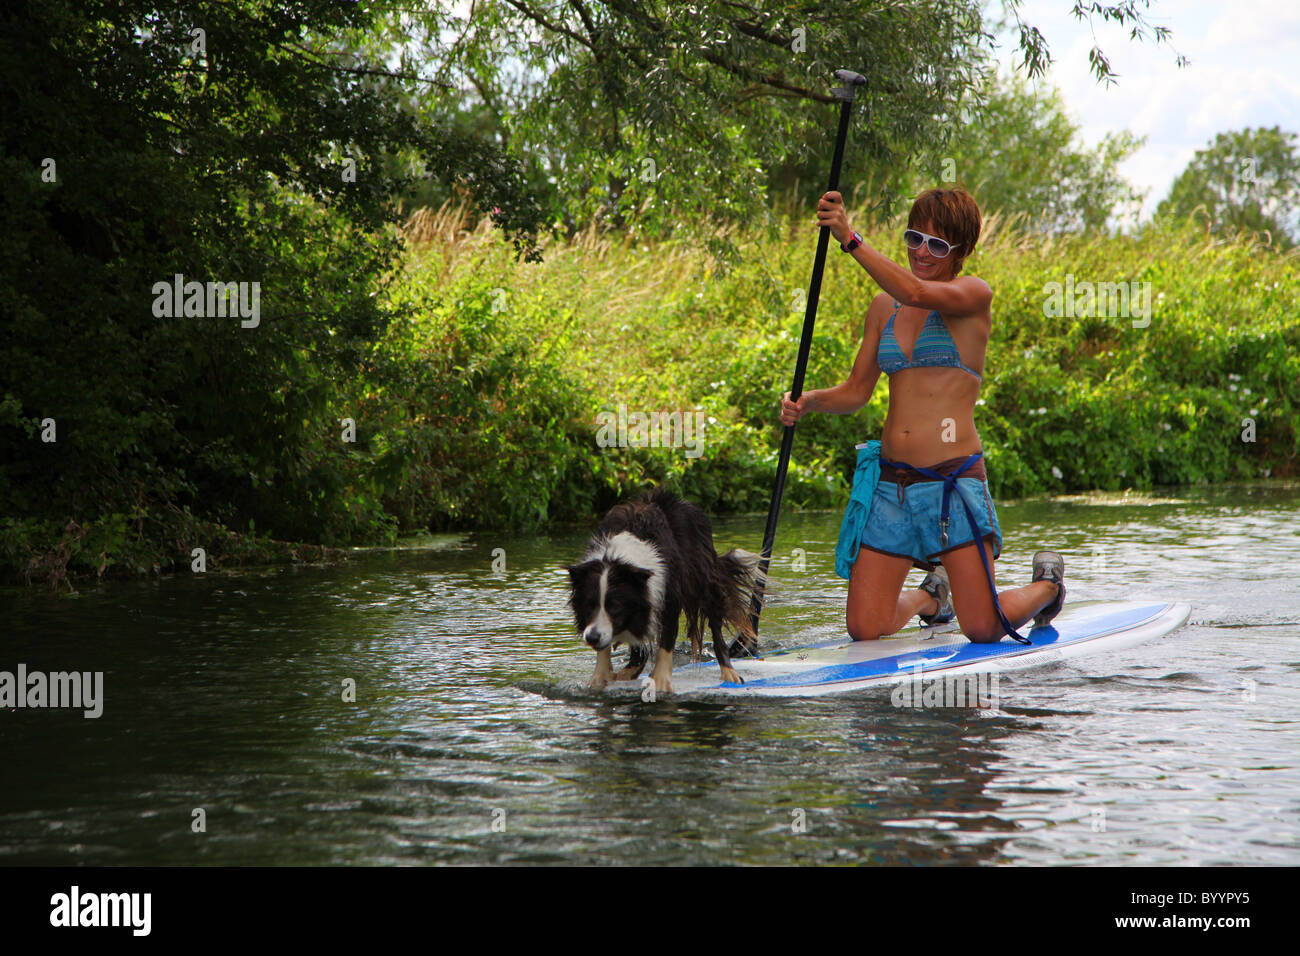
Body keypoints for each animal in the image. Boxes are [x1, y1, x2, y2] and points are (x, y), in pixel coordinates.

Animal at [566, 489, 759, 691]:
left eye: (616, 607)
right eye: (589, 605)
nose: (591, 638)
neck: (620, 559)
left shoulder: (668, 595)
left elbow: (666, 638)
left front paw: (660, 681)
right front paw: (600, 676)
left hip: (704, 579)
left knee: (716, 626)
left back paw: (729, 672)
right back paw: (628, 672)